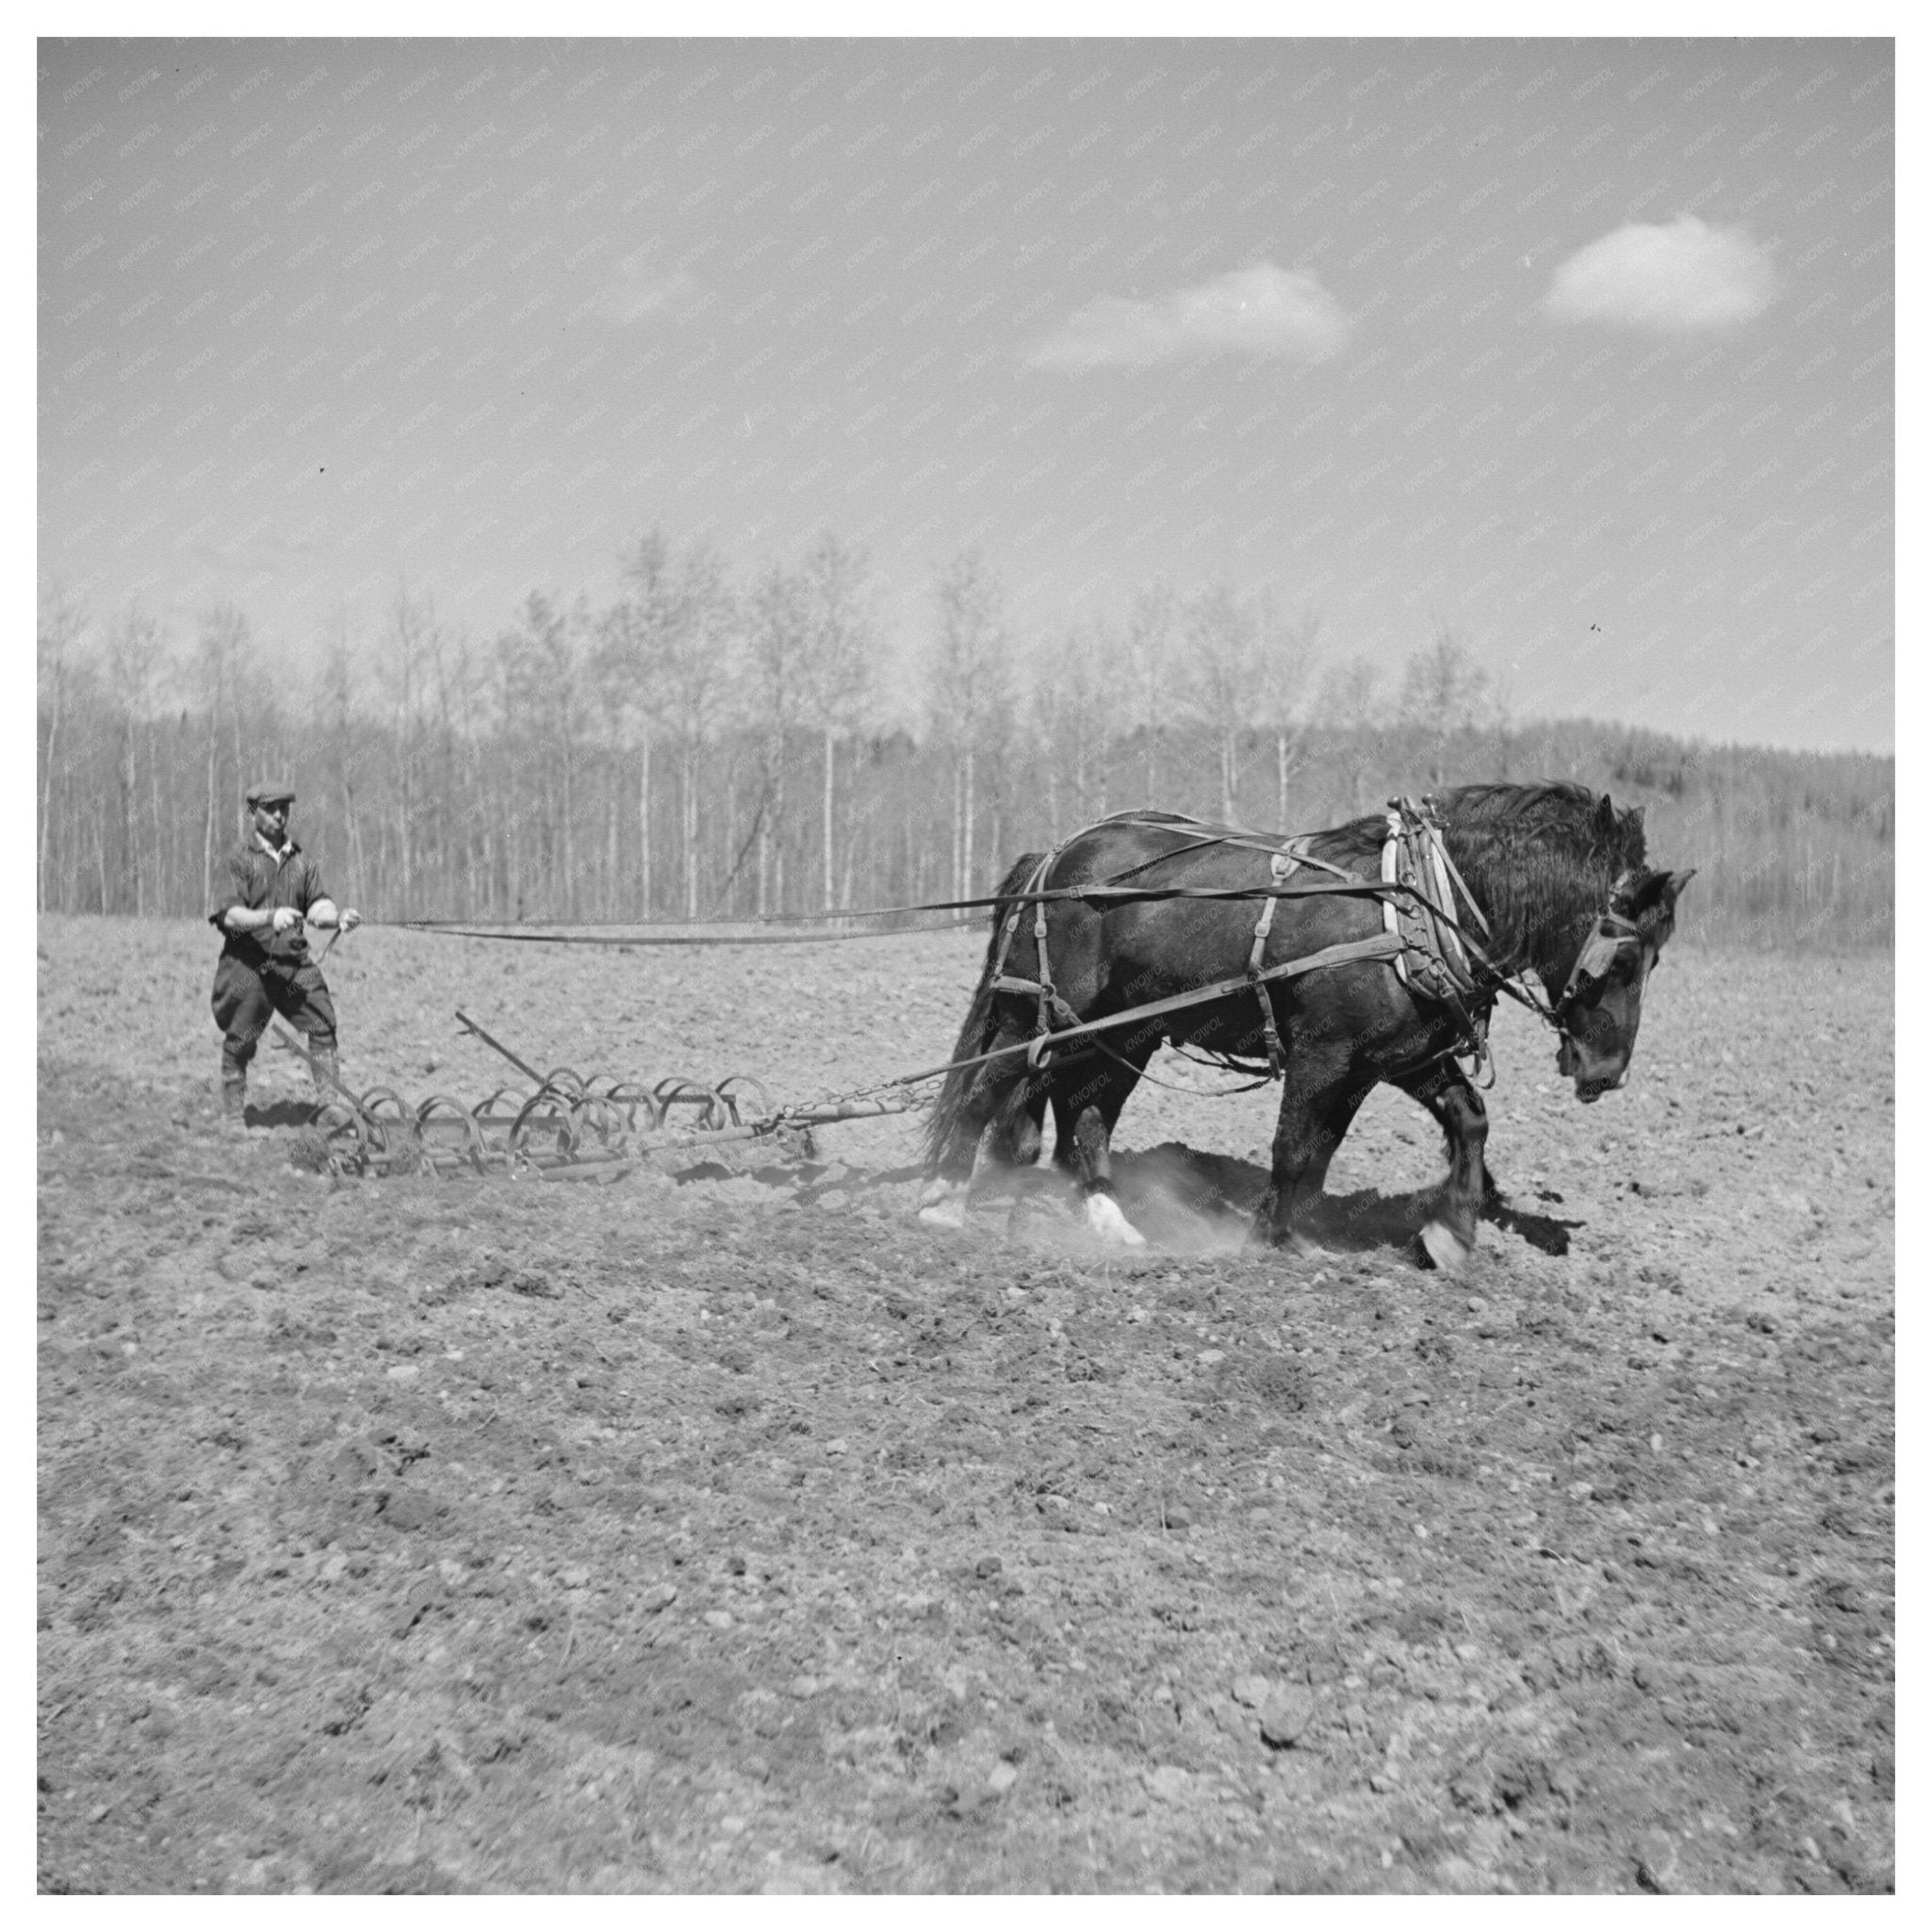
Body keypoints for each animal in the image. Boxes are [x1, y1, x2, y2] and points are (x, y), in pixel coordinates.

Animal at [919, 784, 1692, 1267]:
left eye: (1660, 958)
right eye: (1626, 956)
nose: (1606, 1073)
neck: (1415, 907)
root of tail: (1054, 856)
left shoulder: (1394, 1059)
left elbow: (1456, 1123)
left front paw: (1446, 1234)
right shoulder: (1324, 1054)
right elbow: (1293, 1147)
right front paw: (1267, 1238)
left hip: (1121, 1032)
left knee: (1083, 1112)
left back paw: (1103, 1219)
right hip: (1043, 1014)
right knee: (988, 1092)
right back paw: (944, 1202)